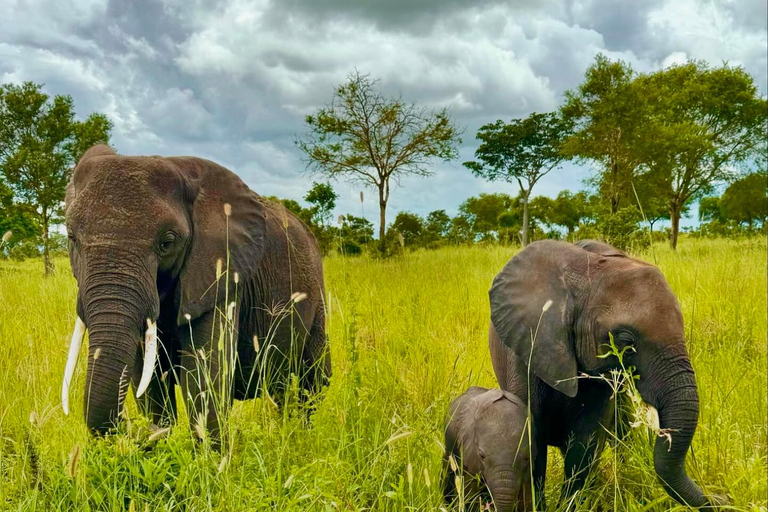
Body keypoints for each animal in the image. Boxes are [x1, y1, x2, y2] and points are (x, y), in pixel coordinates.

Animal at [60, 144, 330, 440]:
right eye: (72, 237)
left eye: (167, 243)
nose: (136, 431)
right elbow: (147, 380)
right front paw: (159, 435)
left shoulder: (220, 272)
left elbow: (204, 379)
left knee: (311, 383)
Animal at [488, 239, 724, 508]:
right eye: (624, 341)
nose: (722, 497)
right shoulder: (526, 351)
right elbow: (531, 440)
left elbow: (586, 442)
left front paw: (571, 506)